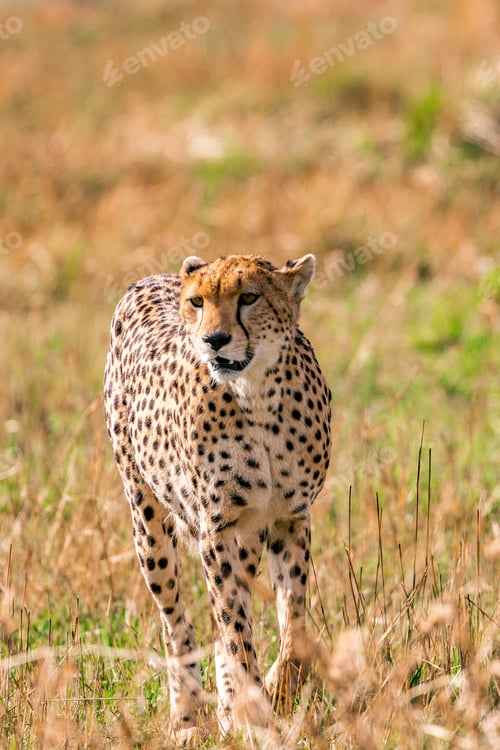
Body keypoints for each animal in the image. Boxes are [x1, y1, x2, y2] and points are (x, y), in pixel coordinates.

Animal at [103, 253, 331, 741]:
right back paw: (188, 718)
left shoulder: (289, 518)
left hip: (246, 540)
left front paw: (275, 691)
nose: (214, 340)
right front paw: (257, 713)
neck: (257, 394)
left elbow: (294, 625)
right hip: (146, 521)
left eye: (249, 297)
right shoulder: (216, 529)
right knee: (175, 622)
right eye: (198, 302)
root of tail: (152, 276)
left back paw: (228, 709)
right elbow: (235, 629)